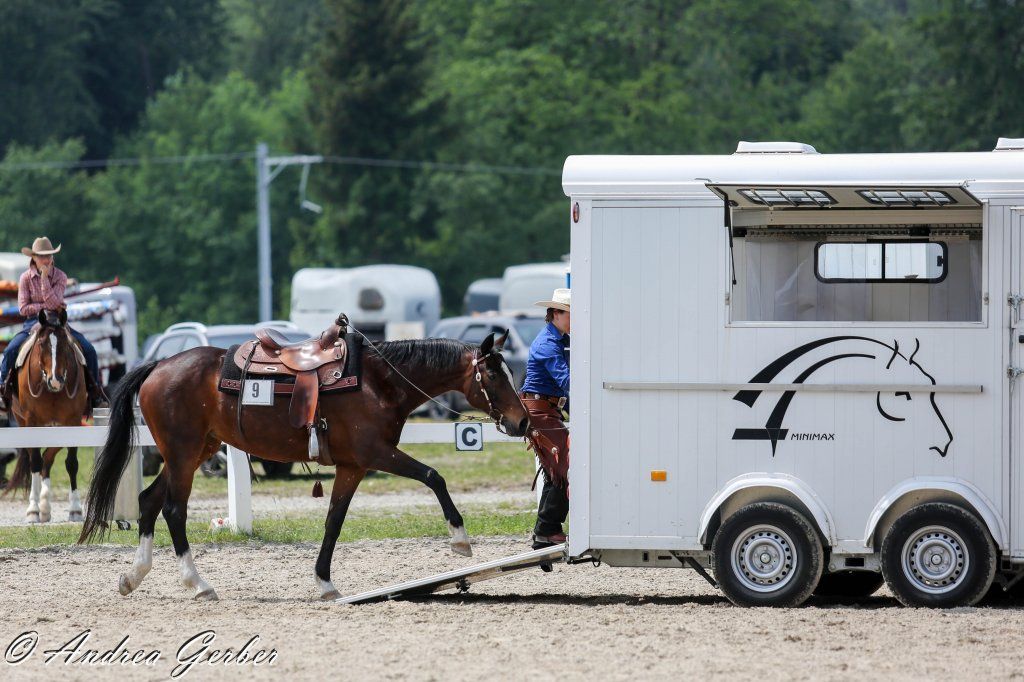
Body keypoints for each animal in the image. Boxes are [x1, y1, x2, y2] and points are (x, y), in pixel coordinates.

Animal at [3, 308, 88, 522]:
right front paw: (32, 510)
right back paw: (39, 507)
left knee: (48, 457)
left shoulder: (73, 422)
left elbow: (71, 463)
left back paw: (45, 506)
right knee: (39, 458)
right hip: (27, 424)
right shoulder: (32, 422)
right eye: (41, 344)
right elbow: (34, 462)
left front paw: (75, 509)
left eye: (65, 344)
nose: (55, 380)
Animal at [78, 329, 530, 601]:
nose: (522, 421)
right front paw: (460, 538)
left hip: (192, 452)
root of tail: (158, 366)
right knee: (172, 509)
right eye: (494, 376)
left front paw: (325, 582)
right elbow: (434, 477)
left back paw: (133, 576)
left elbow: (334, 521)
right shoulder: (377, 454)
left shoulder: (352, 467)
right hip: (184, 454)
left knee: (148, 500)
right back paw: (198, 583)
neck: (380, 383)